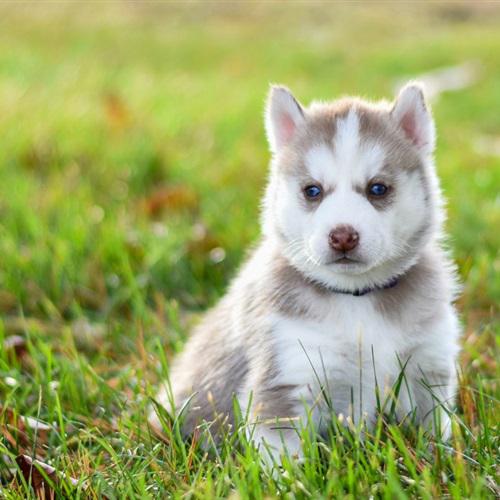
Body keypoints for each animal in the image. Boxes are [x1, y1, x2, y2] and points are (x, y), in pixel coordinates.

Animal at [149, 84, 460, 462]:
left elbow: (435, 434)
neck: (357, 299)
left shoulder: (427, 365)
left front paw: (442, 462)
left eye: (377, 188)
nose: (343, 235)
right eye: (313, 191)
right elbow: (284, 459)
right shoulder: (287, 376)